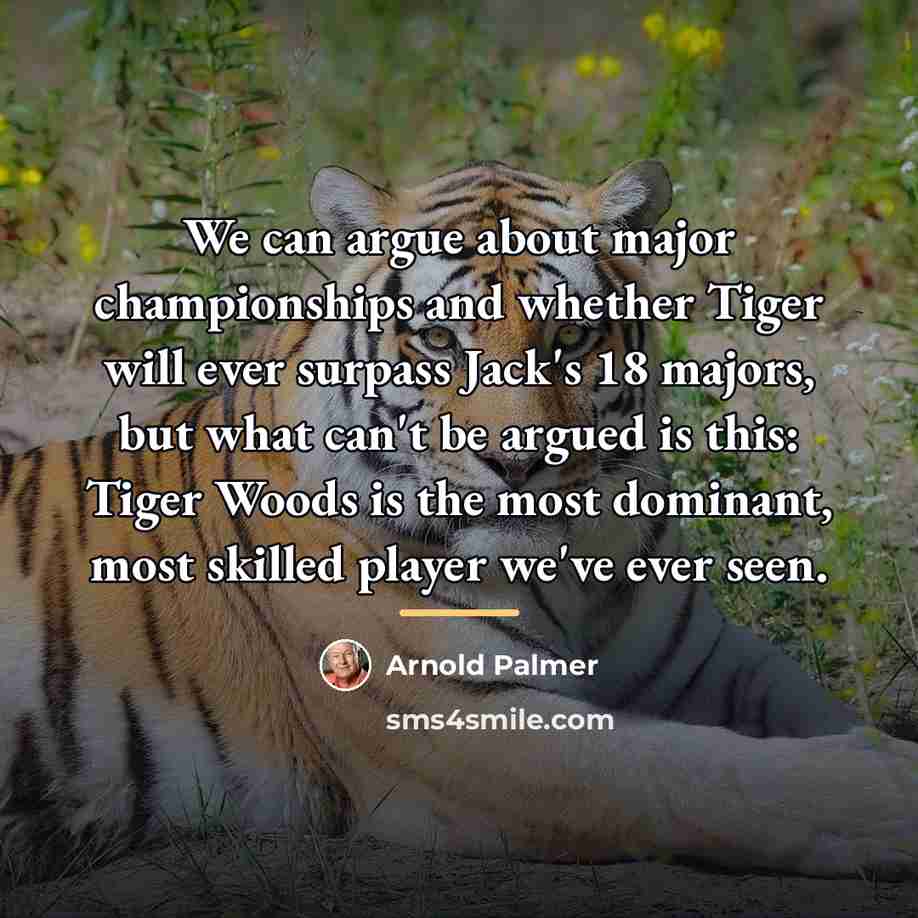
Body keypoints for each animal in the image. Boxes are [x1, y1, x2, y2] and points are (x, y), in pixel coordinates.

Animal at [1, 159, 917, 888]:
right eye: (440, 339)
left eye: (570, 337)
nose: (517, 464)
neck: (566, 576)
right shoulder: (463, 725)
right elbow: (697, 773)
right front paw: (883, 792)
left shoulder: (712, 662)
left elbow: (805, 711)